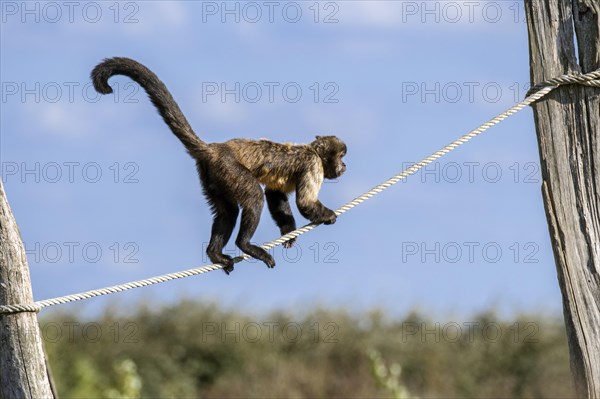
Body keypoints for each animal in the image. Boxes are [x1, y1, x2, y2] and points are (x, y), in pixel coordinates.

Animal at [93, 57, 346, 276]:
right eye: (342, 156)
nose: (344, 165)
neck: (313, 151)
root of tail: (214, 148)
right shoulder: (314, 165)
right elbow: (303, 202)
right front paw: (328, 215)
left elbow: (275, 195)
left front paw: (288, 231)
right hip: (229, 168)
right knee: (253, 196)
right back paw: (245, 244)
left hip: (213, 176)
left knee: (228, 211)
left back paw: (215, 253)